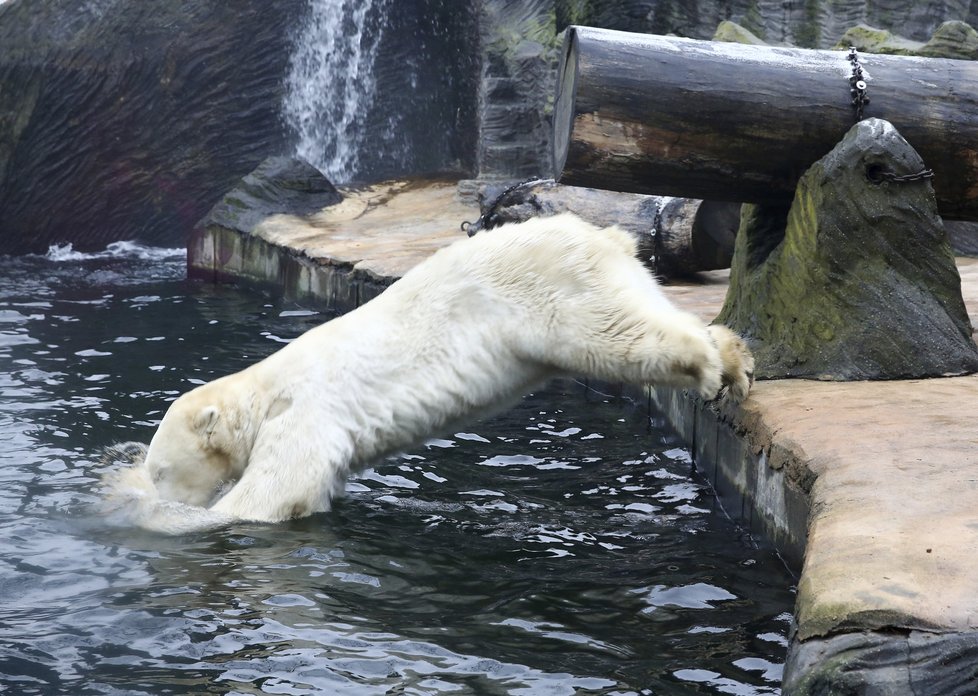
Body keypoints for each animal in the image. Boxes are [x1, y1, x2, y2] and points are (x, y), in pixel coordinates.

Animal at [103, 215, 752, 532]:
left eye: (163, 470)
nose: (156, 485)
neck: (261, 392)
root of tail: (601, 234)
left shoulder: (304, 414)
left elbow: (273, 492)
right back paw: (735, 358)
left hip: (555, 291)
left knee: (616, 336)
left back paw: (712, 366)